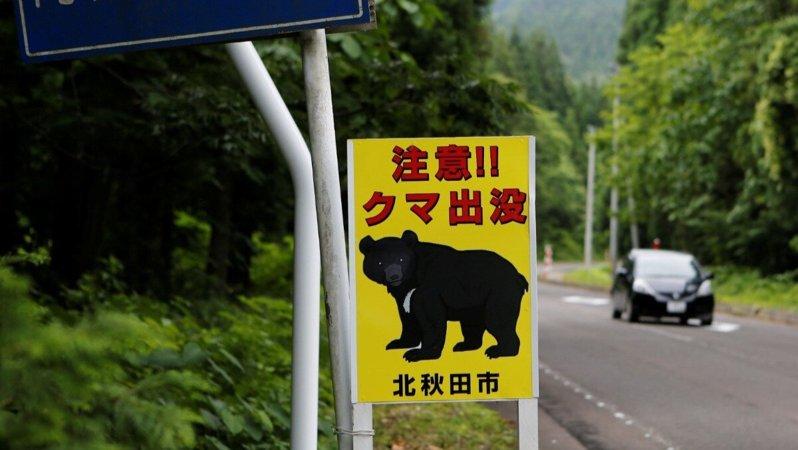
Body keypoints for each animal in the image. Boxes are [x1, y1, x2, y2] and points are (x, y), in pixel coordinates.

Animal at [359, 229, 528, 362]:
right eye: (380, 262)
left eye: (402, 259)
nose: (394, 276)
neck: (412, 279)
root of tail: (519, 276)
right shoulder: (404, 295)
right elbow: (408, 317)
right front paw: (398, 343)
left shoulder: (428, 288)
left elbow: (431, 319)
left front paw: (417, 354)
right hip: (474, 302)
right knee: (472, 323)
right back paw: (464, 345)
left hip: (500, 292)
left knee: (498, 319)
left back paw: (498, 351)